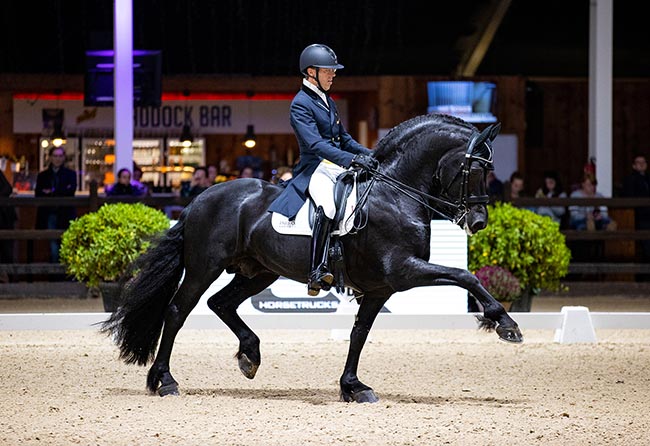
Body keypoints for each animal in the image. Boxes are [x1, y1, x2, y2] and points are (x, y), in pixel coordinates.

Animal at [102, 113, 528, 402]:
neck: (395, 194)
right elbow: (464, 275)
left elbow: (359, 333)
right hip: (205, 267)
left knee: (220, 302)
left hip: (258, 272)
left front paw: (353, 387)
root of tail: (199, 199)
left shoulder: (379, 288)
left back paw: (249, 356)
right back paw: (165, 381)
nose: (478, 222)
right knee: (178, 311)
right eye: (476, 168)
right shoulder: (403, 272)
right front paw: (506, 324)